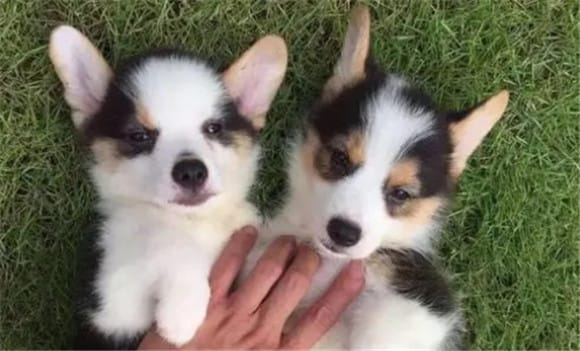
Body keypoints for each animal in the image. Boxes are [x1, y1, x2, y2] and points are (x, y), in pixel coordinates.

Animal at [48, 25, 286, 350]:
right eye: (139, 136)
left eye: (213, 128)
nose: (191, 172)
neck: (194, 220)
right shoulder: (114, 298)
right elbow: (169, 245)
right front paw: (182, 314)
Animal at [245, 4, 508, 350]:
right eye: (339, 158)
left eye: (401, 194)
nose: (344, 233)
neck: (330, 262)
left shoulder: (423, 304)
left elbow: (383, 327)